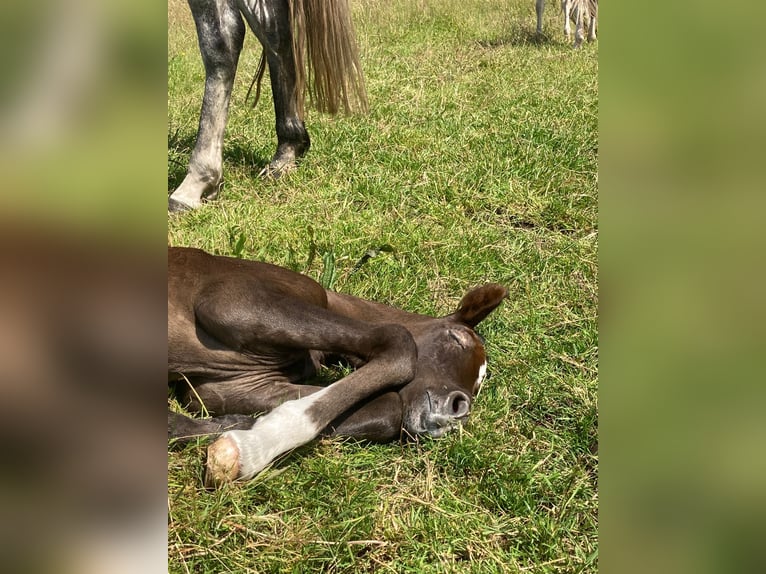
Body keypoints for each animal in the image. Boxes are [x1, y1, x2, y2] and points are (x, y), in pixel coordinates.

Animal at [167, 246, 507, 485]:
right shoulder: (233, 303)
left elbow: (388, 409)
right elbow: (399, 343)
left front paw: (234, 430)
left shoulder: (232, 387)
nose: (459, 408)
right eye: (456, 338)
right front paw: (249, 448)